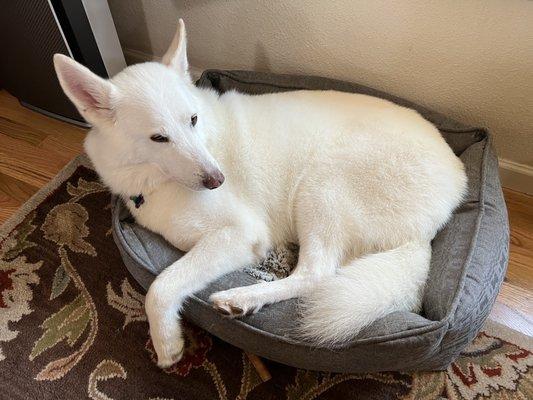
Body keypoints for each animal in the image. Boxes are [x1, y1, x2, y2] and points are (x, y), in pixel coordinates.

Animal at [52, 20, 464, 368]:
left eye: (193, 120)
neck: (157, 182)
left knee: (316, 275)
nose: (218, 179)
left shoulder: (241, 233)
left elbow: (162, 283)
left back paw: (241, 298)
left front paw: (165, 342)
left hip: (321, 185)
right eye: (159, 138)